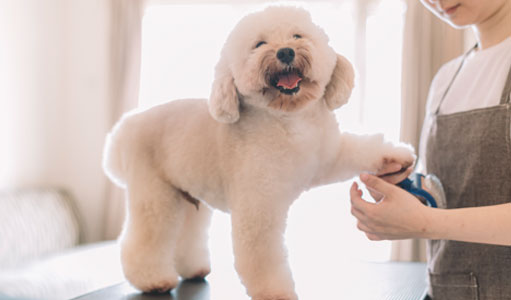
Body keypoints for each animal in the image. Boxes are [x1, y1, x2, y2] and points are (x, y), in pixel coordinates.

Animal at [103, 5, 416, 298]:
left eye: (297, 36)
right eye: (259, 44)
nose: (286, 52)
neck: (289, 122)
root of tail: (125, 128)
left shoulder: (327, 155)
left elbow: (359, 149)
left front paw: (395, 158)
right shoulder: (259, 206)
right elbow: (262, 256)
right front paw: (275, 292)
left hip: (190, 195)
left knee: (188, 233)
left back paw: (194, 269)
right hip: (155, 196)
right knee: (145, 238)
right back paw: (152, 280)